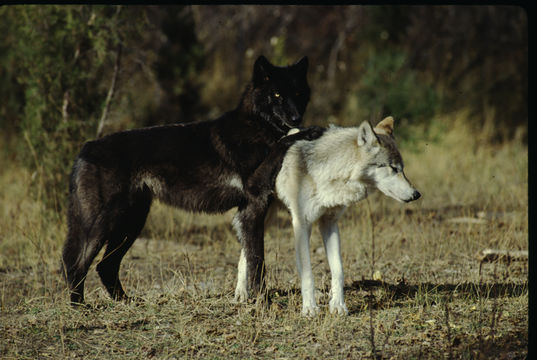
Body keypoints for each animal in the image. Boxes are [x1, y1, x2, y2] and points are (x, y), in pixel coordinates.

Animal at [62, 55, 322, 304]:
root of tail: (85, 148)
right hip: (102, 225)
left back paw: (126, 302)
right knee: (76, 263)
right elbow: (257, 262)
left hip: (131, 222)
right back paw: (80, 307)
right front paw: (263, 301)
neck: (255, 126)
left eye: (298, 93)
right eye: (277, 94)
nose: (296, 118)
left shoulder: (249, 211)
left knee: (105, 265)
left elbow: (248, 260)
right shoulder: (254, 201)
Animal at [234, 117, 418, 312]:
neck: (332, 173)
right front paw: (309, 309)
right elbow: (307, 273)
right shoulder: (302, 224)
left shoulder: (329, 223)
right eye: (393, 168)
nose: (416, 194)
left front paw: (338, 305)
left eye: (403, 169)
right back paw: (241, 293)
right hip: (266, 219)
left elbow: (338, 269)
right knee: (247, 251)